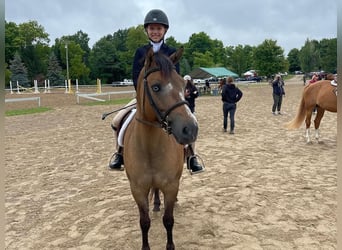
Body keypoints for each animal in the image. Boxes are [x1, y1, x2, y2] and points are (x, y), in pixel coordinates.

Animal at [123, 47, 198, 250]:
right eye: (156, 87)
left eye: (183, 85)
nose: (190, 129)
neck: (150, 147)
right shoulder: (138, 189)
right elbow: (144, 222)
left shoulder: (171, 186)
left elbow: (168, 220)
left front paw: (170, 246)